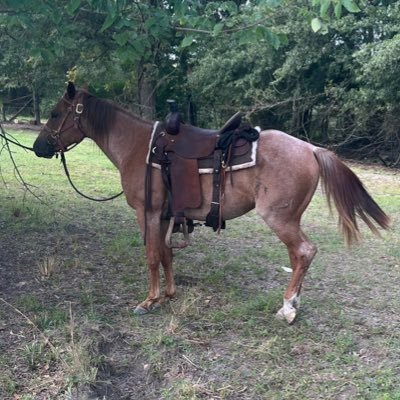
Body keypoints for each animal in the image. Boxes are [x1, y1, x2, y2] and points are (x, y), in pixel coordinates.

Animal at [32, 83, 390, 324]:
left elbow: (151, 256)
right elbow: (166, 255)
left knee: (304, 252)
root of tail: (311, 149)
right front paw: (169, 295)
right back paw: (292, 303)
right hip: (288, 220)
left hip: (280, 218)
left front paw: (149, 301)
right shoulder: (166, 215)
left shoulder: (147, 213)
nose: (38, 147)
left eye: (54, 113)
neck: (139, 147)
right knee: (298, 255)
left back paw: (288, 308)